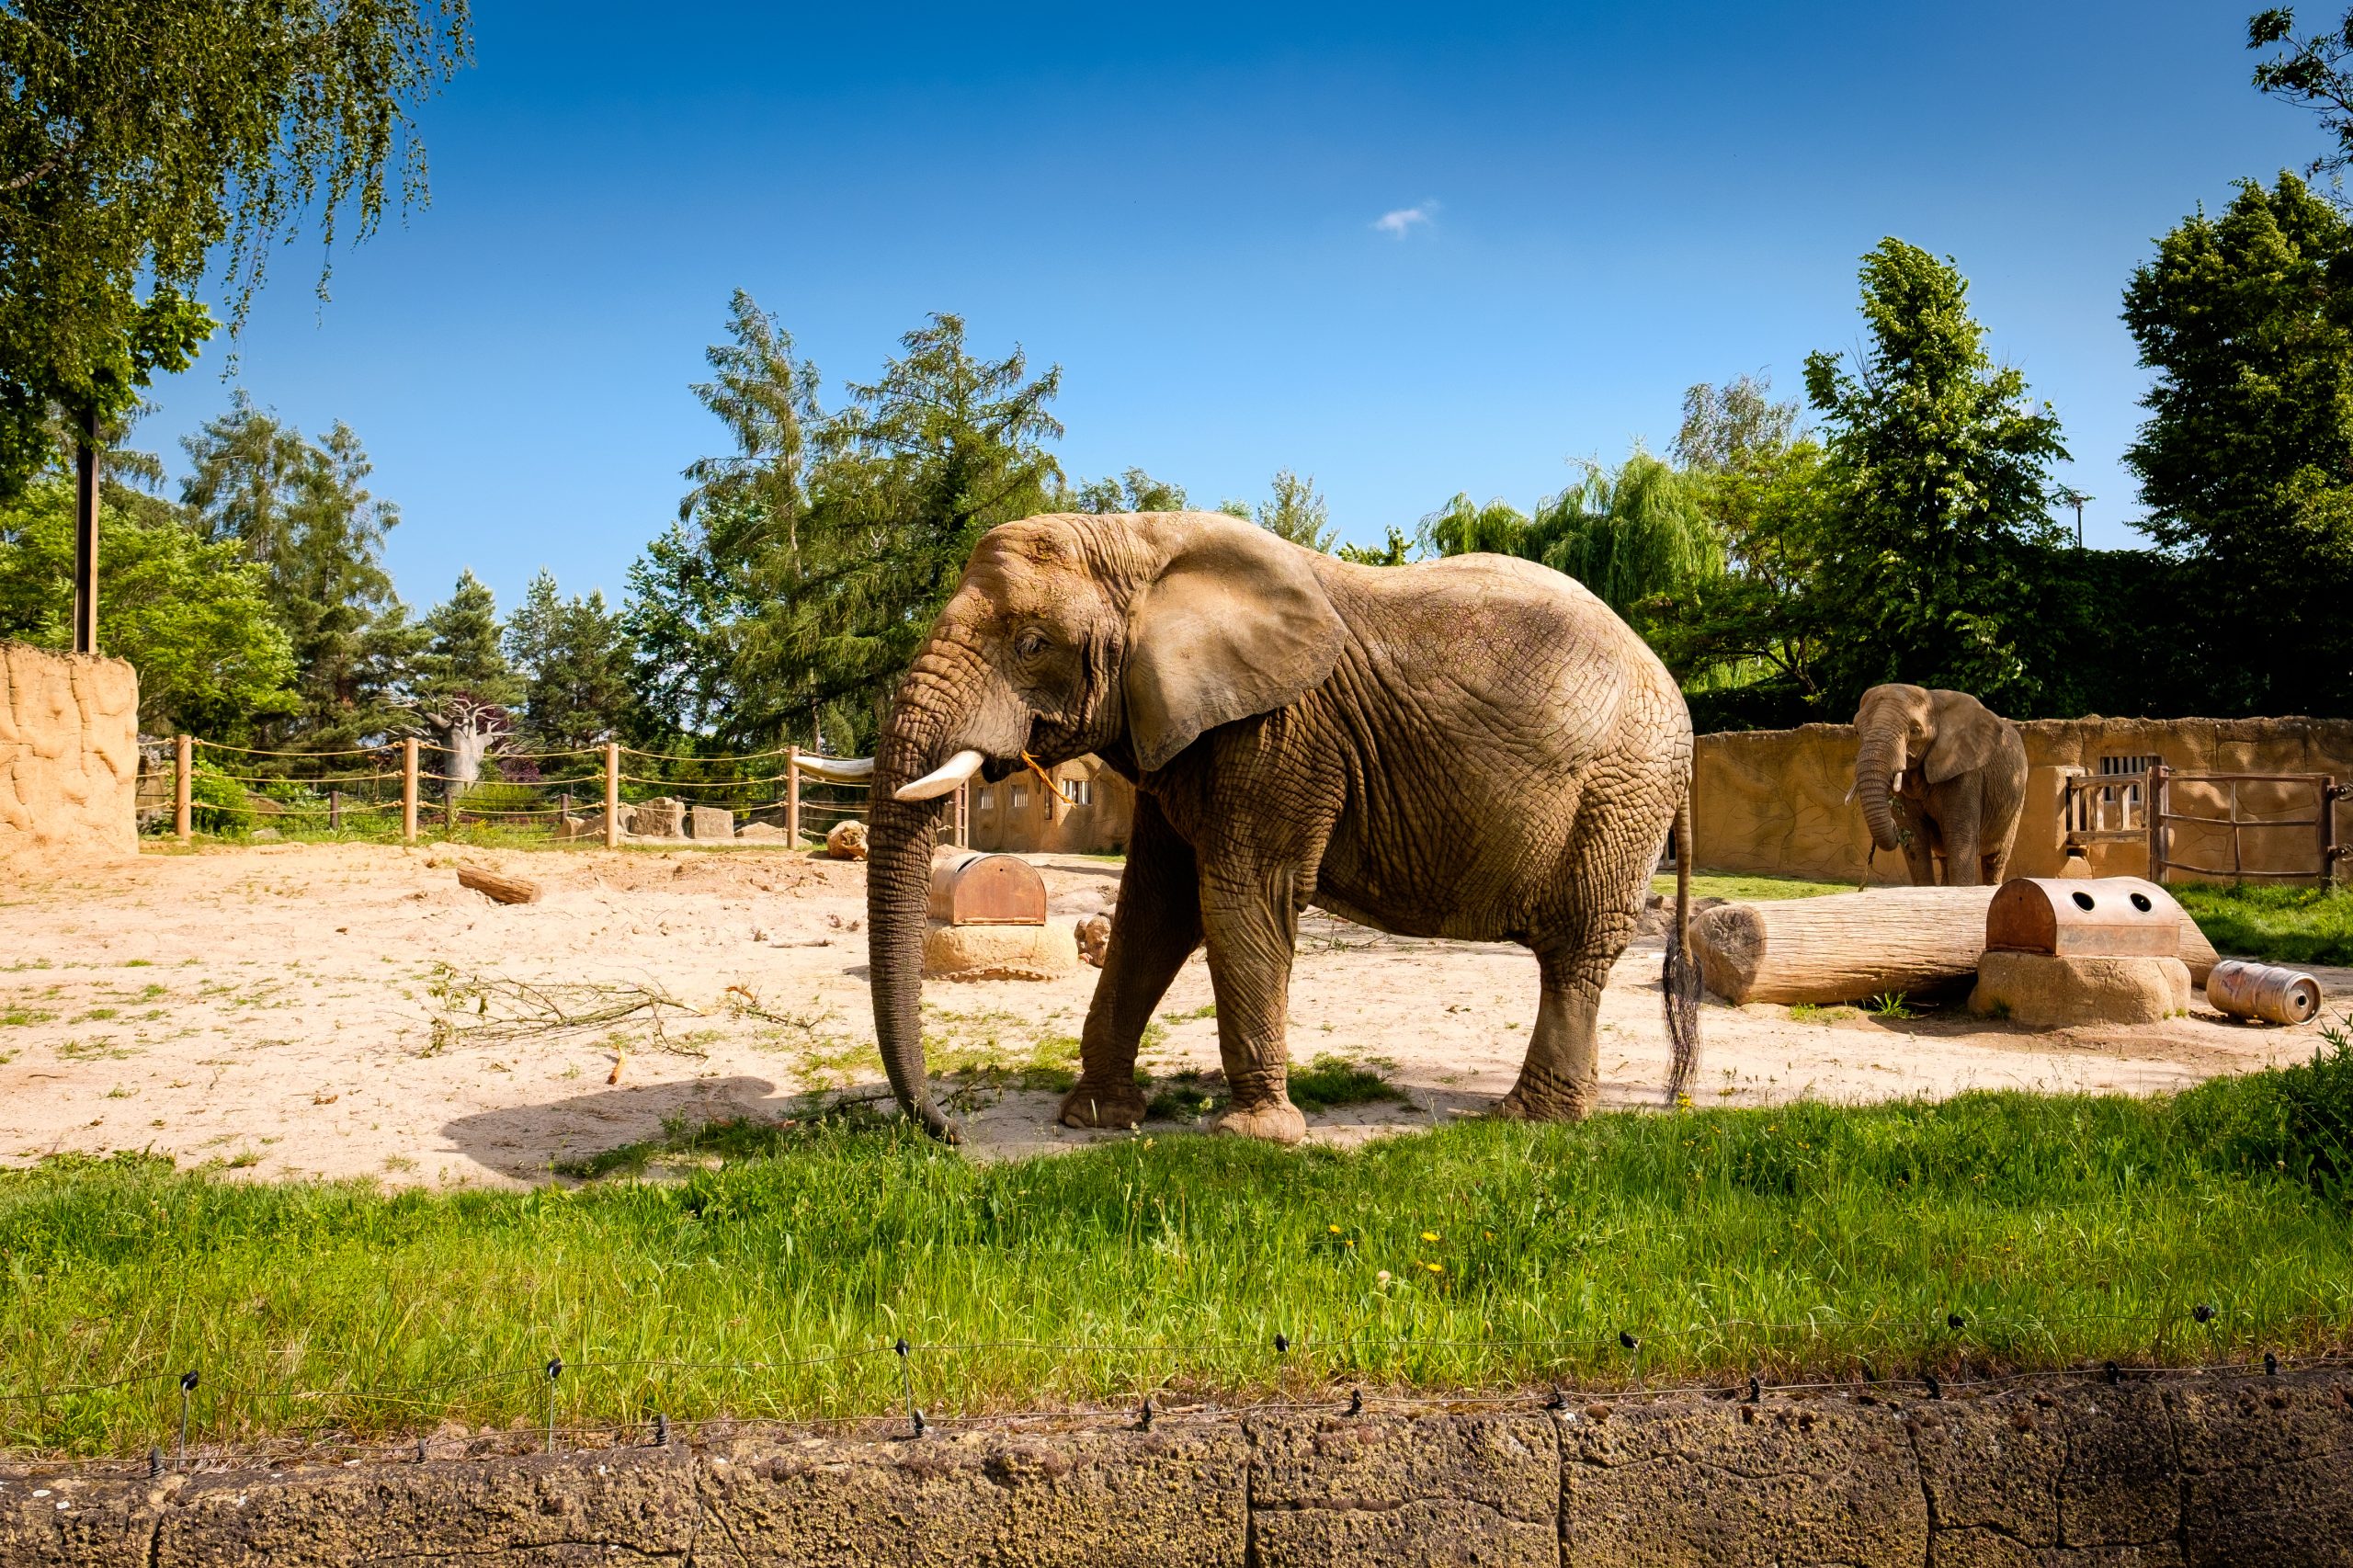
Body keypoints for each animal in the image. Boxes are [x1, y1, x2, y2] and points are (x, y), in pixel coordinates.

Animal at [875, 510, 1703, 1134]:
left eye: (1032, 645)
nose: (950, 1130)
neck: (1141, 542)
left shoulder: (1279, 735)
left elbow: (1243, 896)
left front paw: (1255, 1136)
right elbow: (1156, 907)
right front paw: (1096, 1120)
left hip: (1621, 790)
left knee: (1576, 947)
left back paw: (1527, 1120)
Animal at [1845, 682, 2032, 885]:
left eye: (1915, 731)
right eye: (1857, 732)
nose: (1894, 827)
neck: (1933, 700)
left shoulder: (1965, 771)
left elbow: (1960, 839)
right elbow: (1915, 839)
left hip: (2015, 800)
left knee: (1995, 860)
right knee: (1945, 858)